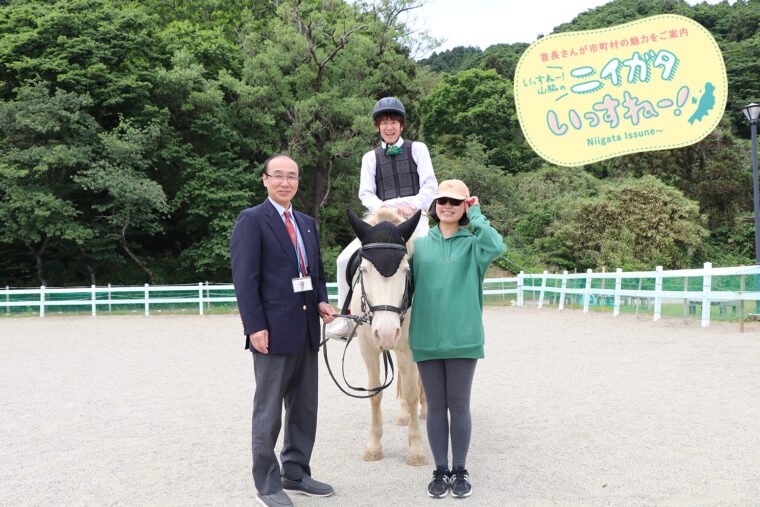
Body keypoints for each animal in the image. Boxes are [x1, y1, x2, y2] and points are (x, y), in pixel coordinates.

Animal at [346, 208, 428, 466]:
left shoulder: (409, 349)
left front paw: (416, 450)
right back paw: (403, 416)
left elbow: (411, 394)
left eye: (405, 270)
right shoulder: (368, 349)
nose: (386, 333)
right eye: (363, 269)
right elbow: (374, 394)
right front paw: (373, 447)